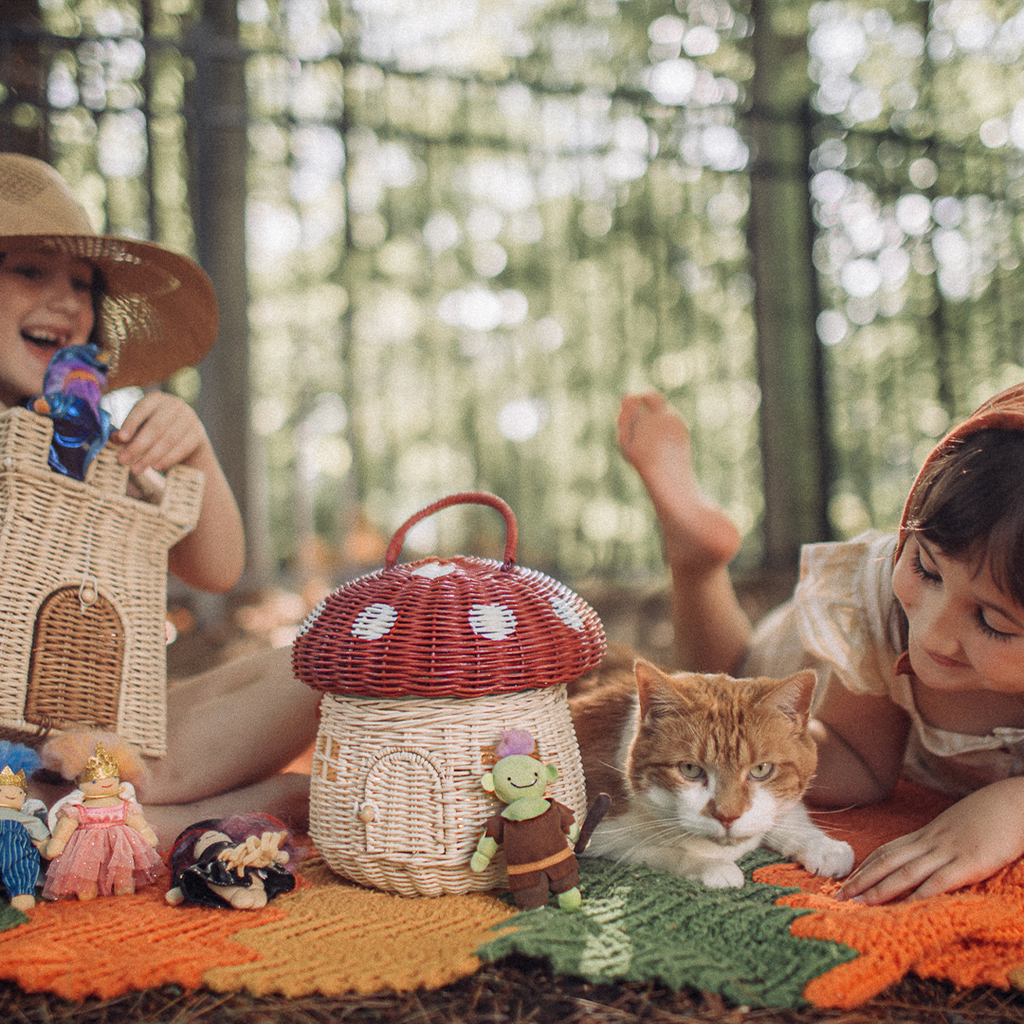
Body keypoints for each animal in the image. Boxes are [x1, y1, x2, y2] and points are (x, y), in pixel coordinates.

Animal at [573, 655, 851, 888]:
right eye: (690, 770)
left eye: (761, 769)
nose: (728, 816)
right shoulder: (596, 834)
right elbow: (653, 849)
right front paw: (712, 866)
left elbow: (787, 816)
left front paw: (823, 846)